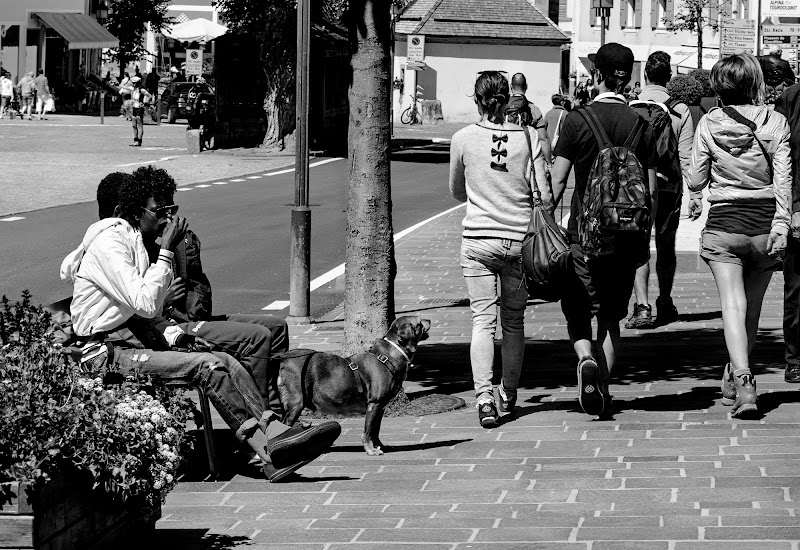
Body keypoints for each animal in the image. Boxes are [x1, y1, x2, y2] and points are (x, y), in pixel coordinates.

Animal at [278, 316, 434, 454]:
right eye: (419, 322)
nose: (429, 320)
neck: (390, 355)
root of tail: (285, 358)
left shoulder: (380, 408)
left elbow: (375, 431)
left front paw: (379, 446)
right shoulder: (374, 405)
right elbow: (368, 431)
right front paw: (370, 449)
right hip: (295, 403)